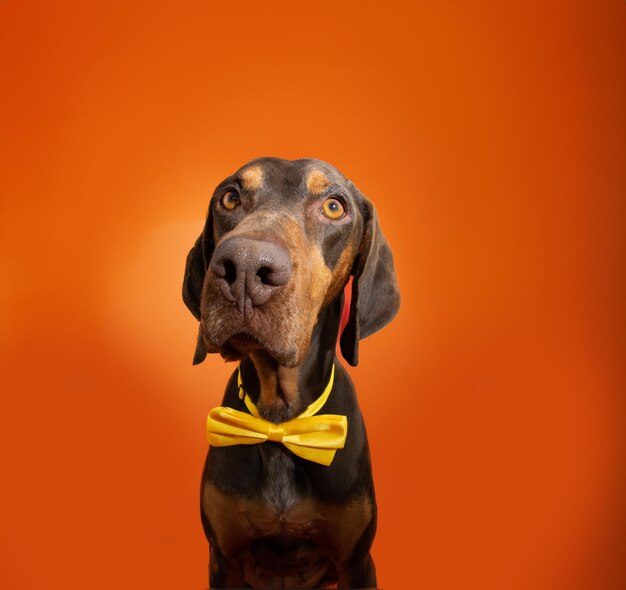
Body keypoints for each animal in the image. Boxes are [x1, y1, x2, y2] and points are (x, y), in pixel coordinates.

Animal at [180, 158, 398, 590]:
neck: (279, 421)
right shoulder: (223, 558)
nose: (245, 266)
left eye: (334, 206)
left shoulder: (356, 562)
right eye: (230, 198)